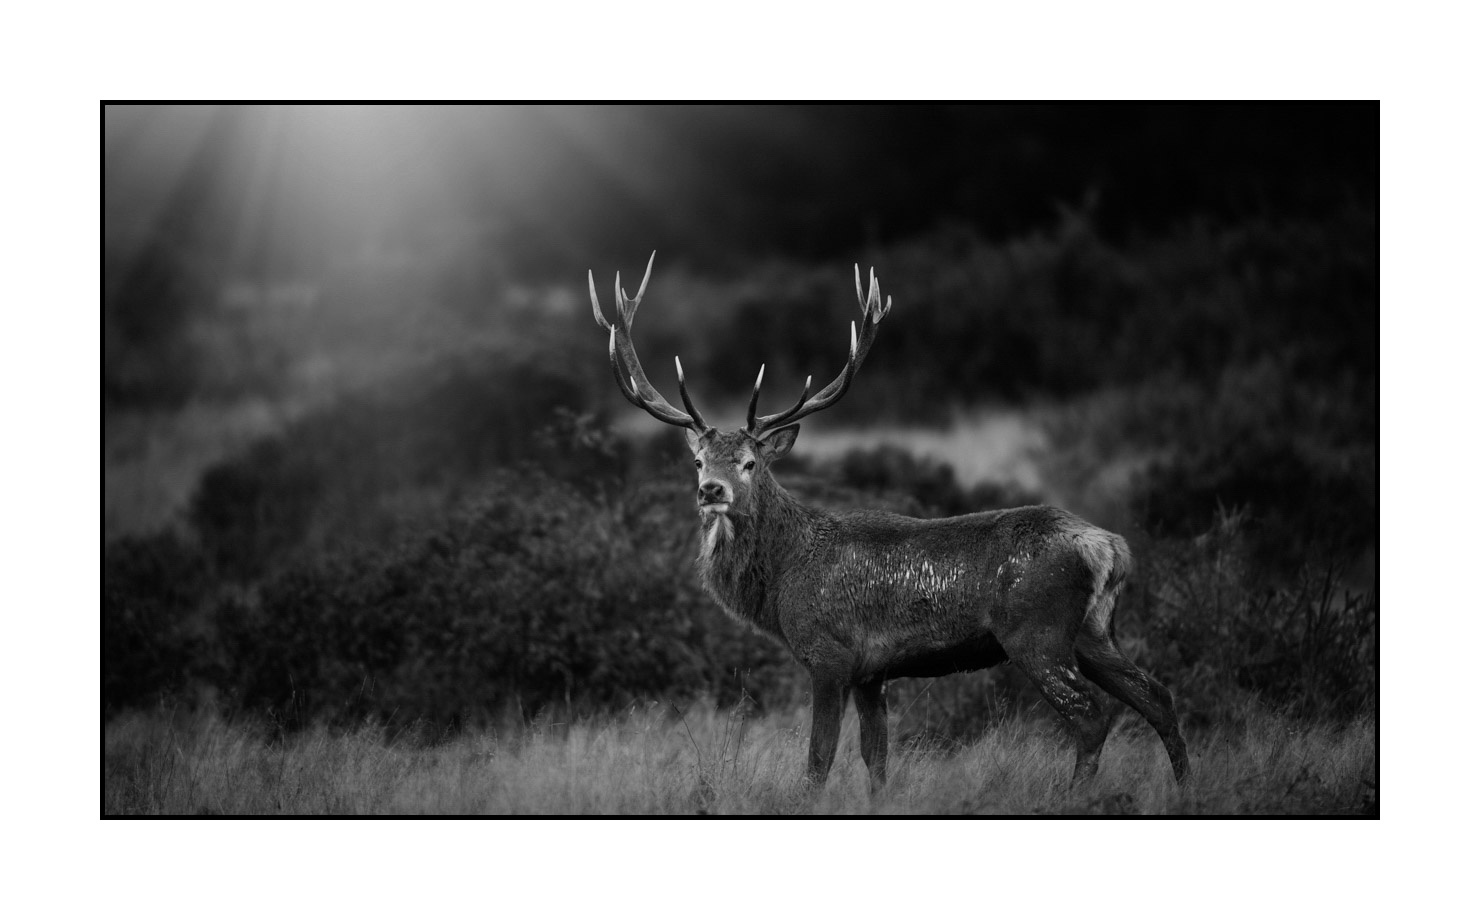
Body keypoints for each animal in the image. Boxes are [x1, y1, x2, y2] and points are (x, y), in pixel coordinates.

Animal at [589, 252, 1190, 793]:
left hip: (1035, 630)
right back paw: (1185, 789)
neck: (782, 579)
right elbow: (875, 760)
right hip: (1094, 631)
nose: (710, 490)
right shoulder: (872, 671)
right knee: (1158, 696)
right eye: (698, 460)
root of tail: (1110, 547)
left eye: (749, 462)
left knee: (1092, 717)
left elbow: (819, 760)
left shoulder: (829, 652)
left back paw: (1074, 797)